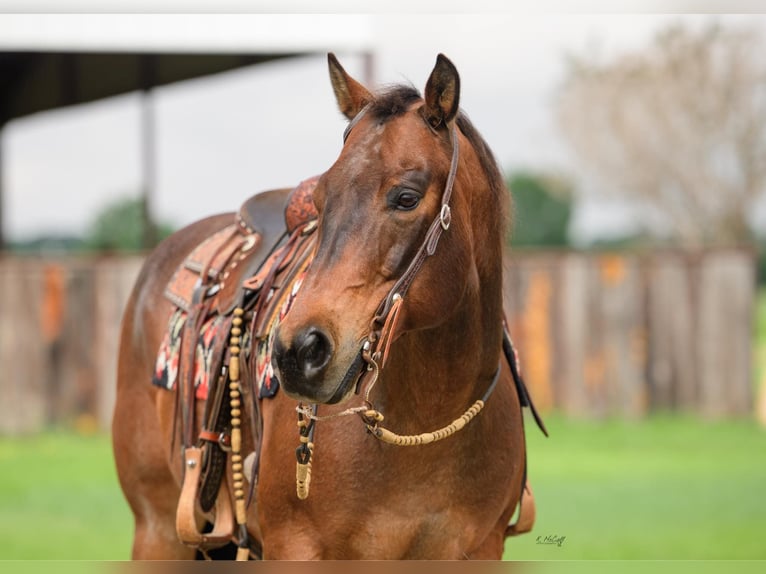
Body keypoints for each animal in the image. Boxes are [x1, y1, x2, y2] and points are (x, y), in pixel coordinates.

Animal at [112, 54, 544, 564]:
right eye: (321, 198)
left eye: (406, 197)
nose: (297, 351)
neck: (426, 421)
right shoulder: (296, 547)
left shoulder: (479, 549)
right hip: (157, 531)